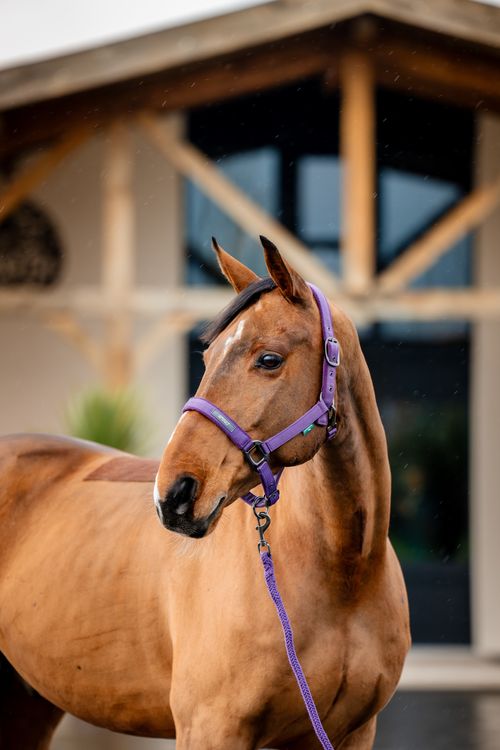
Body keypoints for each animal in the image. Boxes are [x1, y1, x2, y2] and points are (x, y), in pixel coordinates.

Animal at [0, 237, 410, 749]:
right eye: (207, 358)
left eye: (269, 359)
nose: (173, 494)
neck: (345, 574)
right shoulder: (211, 727)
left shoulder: (351, 732)